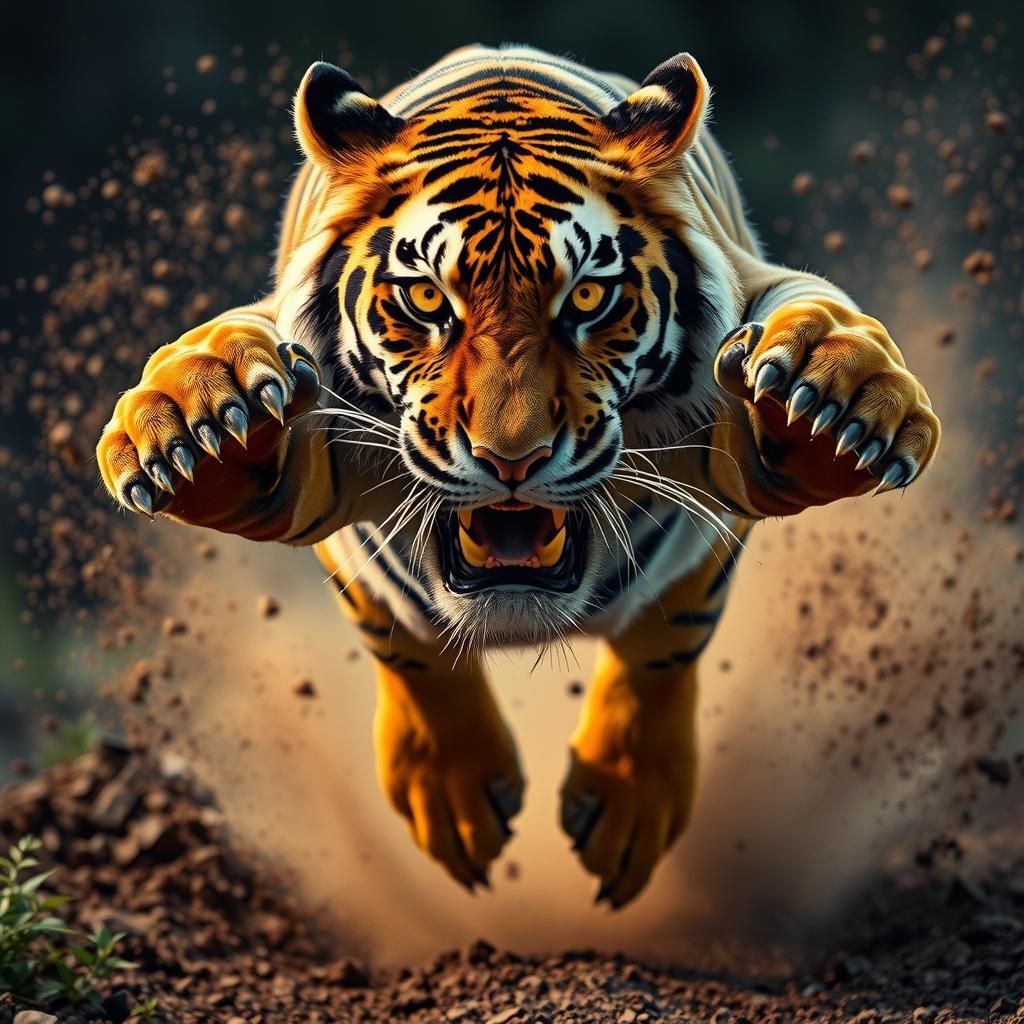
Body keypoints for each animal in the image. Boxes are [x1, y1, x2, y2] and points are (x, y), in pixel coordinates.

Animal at [97, 44, 940, 909]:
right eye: (426, 297)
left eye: (590, 296)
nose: (511, 459)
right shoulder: (329, 477)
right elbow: (401, 637)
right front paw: (199, 418)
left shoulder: (719, 465)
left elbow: (667, 637)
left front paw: (832, 396)